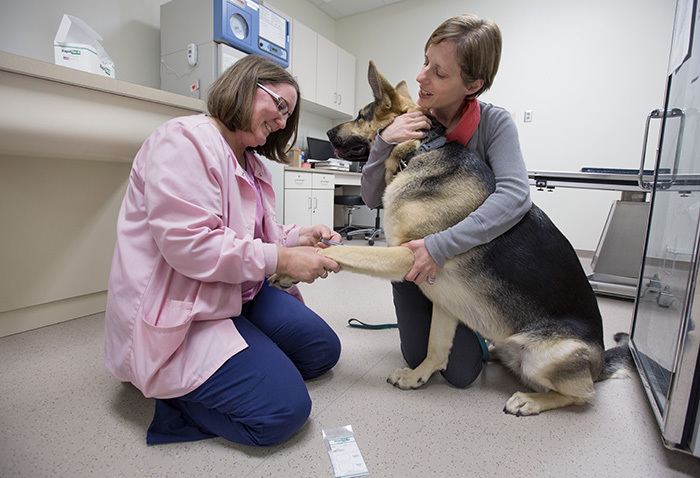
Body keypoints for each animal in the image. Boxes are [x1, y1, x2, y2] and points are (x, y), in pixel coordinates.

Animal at [270, 62, 632, 414]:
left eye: (361, 115)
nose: (327, 133)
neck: (419, 149)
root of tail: (598, 365)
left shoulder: (405, 255)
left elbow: (339, 251)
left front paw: (291, 267)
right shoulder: (441, 294)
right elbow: (436, 348)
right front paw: (418, 376)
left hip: (550, 358)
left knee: (583, 395)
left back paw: (531, 400)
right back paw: (495, 352)